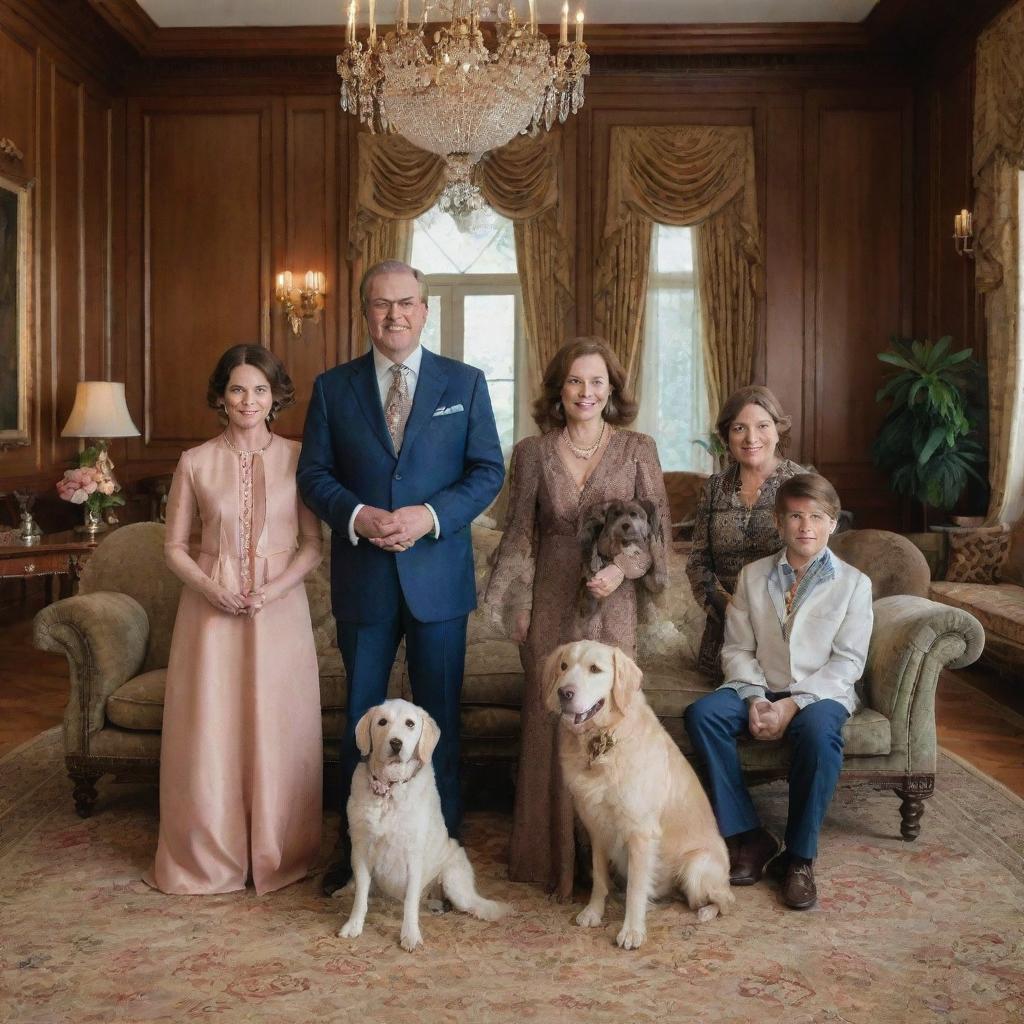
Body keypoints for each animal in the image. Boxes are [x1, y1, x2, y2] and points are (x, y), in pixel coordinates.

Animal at [337, 696, 509, 950]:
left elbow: (410, 902)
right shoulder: (360, 850)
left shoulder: (413, 855)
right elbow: (360, 896)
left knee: (474, 905)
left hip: (453, 881)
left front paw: (410, 935)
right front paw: (354, 925)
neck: (390, 791)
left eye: (410, 723)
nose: (396, 743)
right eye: (382, 722)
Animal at [548, 643, 733, 946]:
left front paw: (632, 931)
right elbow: (599, 878)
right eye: (563, 666)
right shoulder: (596, 829)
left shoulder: (641, 833)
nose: (564, 693)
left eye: (595, 669)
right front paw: (593, 912)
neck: (601, 743)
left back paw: (706, 911)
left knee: (727, 900)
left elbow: (636, 888)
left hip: (696, 868)